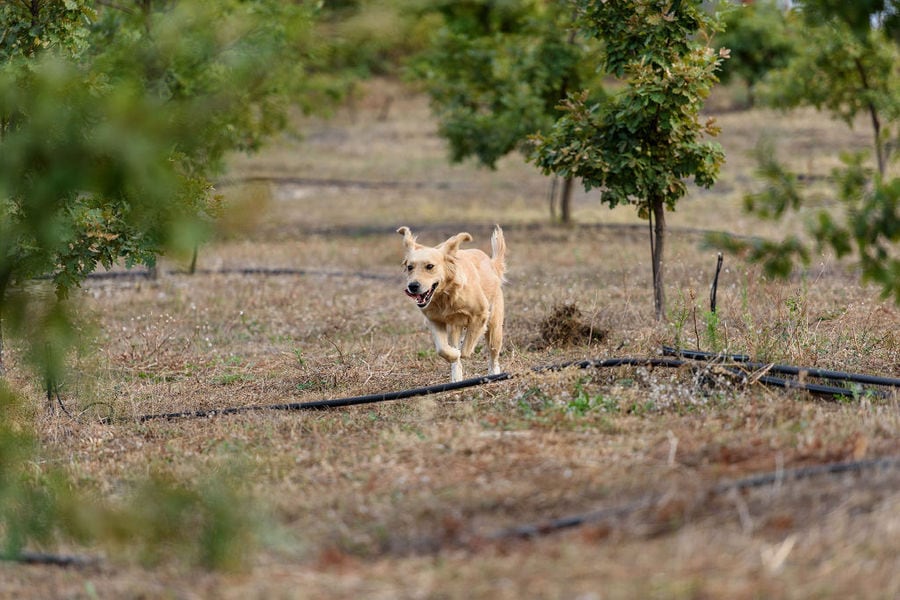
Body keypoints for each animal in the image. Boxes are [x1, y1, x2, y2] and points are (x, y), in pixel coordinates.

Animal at [396, 223, 506, 382]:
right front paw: (453, 354)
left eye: (430, 266)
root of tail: (491, 263)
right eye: (410, 267)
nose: (413, 286)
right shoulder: (434, 320)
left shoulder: (481, 314)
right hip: (455, 327)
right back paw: (456, 376)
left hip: (495, 326)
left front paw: (461, 350)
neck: (445, 294)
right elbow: (443, 349)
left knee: (493, 354)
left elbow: (466, 349)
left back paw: (494, 373)